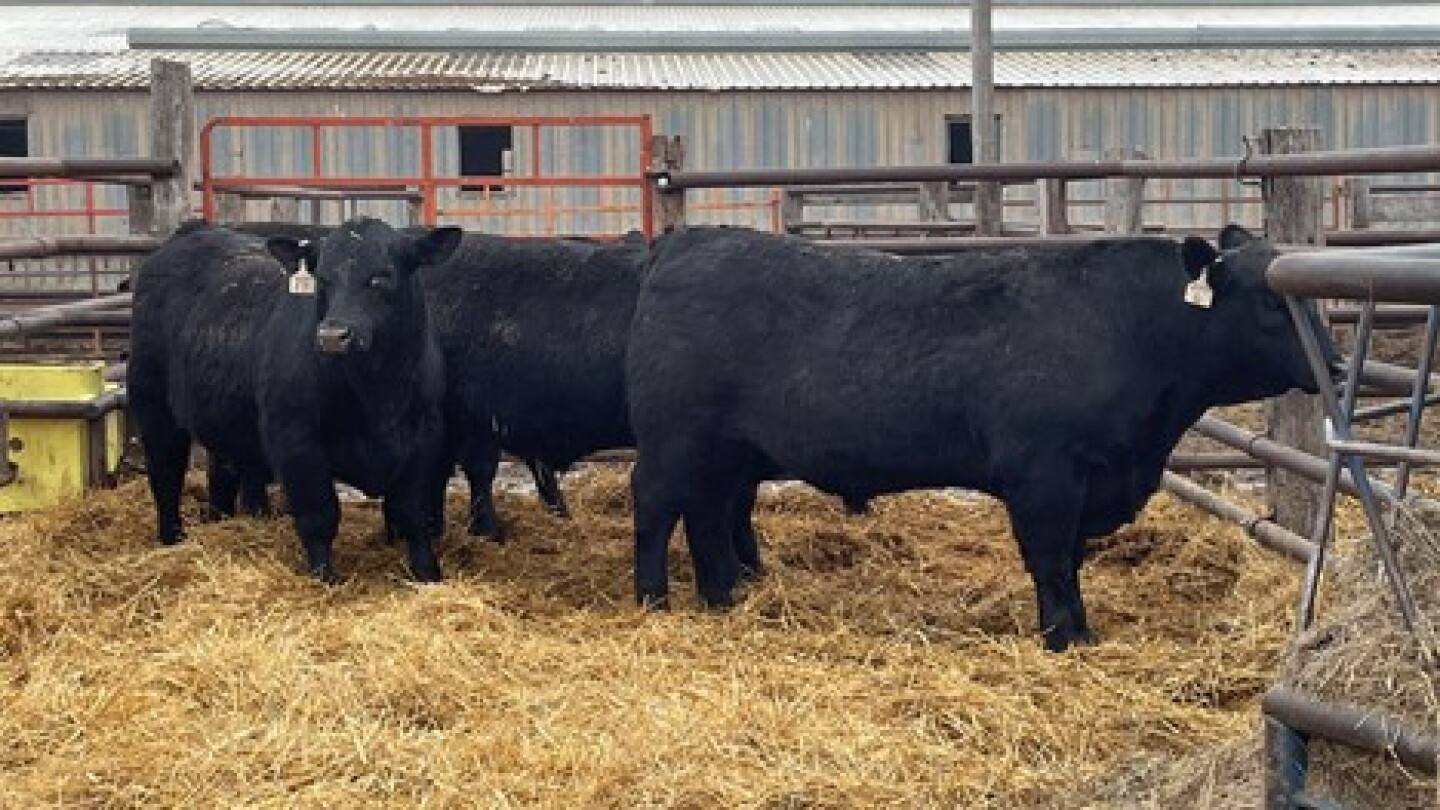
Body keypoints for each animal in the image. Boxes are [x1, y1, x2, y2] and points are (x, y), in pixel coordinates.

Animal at [127, 217, 462, 581]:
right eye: (322, 280)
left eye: (381, 277)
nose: (332, 337)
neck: (377, 393)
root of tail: (193, 232)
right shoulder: (296, 439)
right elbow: (320, 515)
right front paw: (323, 578)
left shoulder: (426, 437)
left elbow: (413, 512)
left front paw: (427, 573)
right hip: (152, 404)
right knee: (165, 474)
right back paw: (172, 539)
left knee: (220, 473)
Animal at [625, 224, 1338, 652]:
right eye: (1272, 302)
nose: (1331, 365)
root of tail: (690, 238)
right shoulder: (1046, 476)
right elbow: (1051, 562)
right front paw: (1062, 638)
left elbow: (1071, 563)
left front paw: (1081, 632)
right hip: (673, 444)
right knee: (656, 509)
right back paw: (653, 601)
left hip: (722, 455)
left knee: (707, 518)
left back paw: (722, 597)